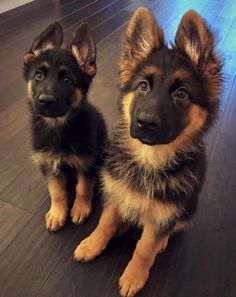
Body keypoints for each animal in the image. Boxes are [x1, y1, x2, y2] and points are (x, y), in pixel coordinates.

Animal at [22, 22, 106, 231]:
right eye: (38, 75)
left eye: (67, 79)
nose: (45, 101)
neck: (58, 128)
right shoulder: (48, 164)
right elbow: (56, 191)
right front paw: (57, 213)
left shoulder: (87, 163)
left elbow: (83, 187)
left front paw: (80, 208)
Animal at [74, 7, 223, 296]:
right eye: (143, 86)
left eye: (181, 94)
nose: (145, 123)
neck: (148, 160)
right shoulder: (115, 193)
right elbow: (104, 223)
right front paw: (92, 244)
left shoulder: (164, 216)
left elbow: (145, 247)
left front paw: (134, 275)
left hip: (187, 208)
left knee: (171, 229)